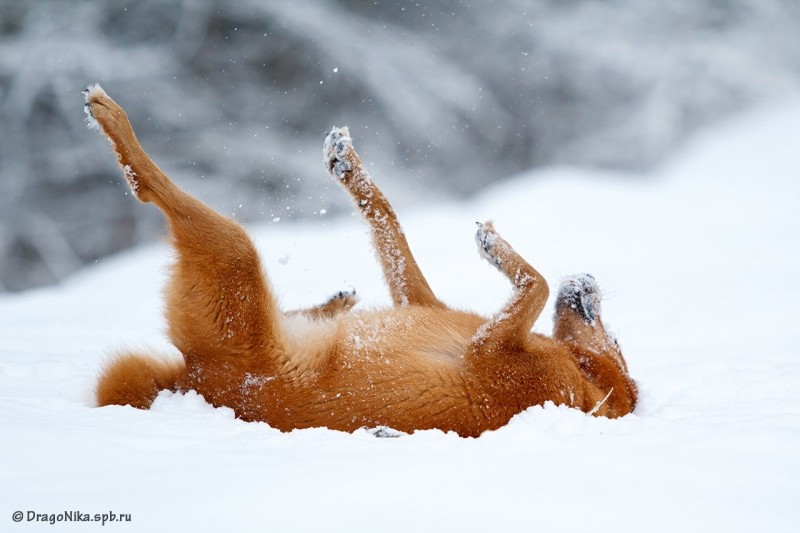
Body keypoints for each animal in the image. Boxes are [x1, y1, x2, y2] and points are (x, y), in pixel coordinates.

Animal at [86, 84, 636, 436]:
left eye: (615, 341)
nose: (588, 278)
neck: (583, 383)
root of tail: (193, 383)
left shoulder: (492, 354)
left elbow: (536, 281)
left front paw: (493, 244)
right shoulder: (425, 305)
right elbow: (389, 224)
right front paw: (349, 169)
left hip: (233, 255)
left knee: (151, 188)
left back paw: (113, 121)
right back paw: (334, 304)